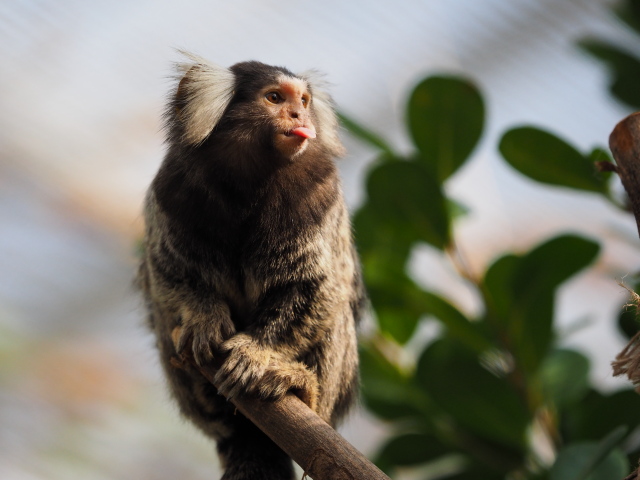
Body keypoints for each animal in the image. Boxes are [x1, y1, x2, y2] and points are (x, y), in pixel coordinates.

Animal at [136, 52, 364, 480]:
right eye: (275, 98)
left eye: (304, 101)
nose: (298, 115)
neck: (249, 180)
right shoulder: (170, 189)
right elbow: (167, 270)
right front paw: (204, 319)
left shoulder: (321, 193)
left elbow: (316, 286)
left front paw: (257, 353)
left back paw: (303, 388)